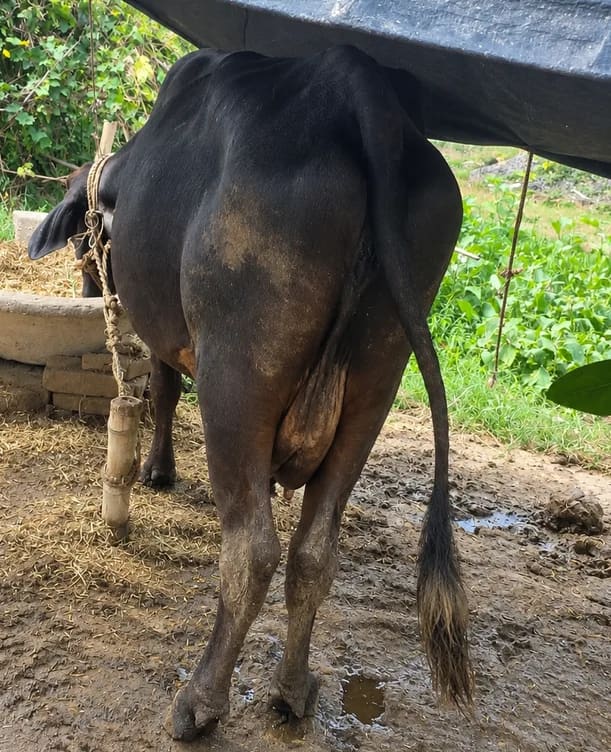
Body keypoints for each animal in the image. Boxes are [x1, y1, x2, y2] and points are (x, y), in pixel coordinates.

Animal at [28, 45, 472, 740]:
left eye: (80, 238)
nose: (88, 287)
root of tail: (352, 87)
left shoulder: (167, 330)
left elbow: (163, 389)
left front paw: (157, 470)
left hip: (236, 378)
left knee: (252, 552)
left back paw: (200, 701)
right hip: (375, 386)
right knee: (313, 551)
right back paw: (292, 689)